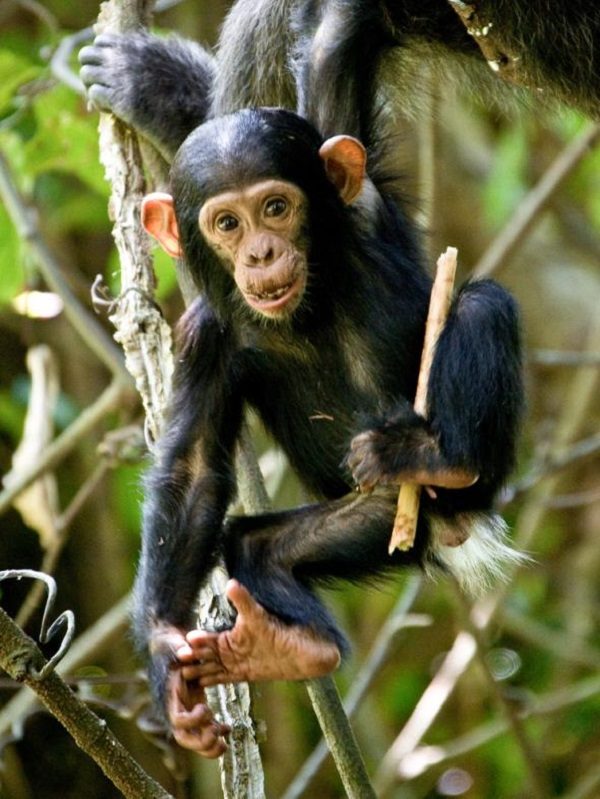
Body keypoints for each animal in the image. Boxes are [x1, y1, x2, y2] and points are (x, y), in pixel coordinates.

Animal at [127, 106, 525, 756]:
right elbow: (193, 470)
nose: (260, 252)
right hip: (378, 522)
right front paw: (167, 662)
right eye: (227, 223)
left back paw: (442, 457)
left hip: (471, 478)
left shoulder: (369, 215)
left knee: (481, 304)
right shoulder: (202, 339)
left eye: (275, 208)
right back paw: (283, 648)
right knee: (254, 546)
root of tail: (454, 525)